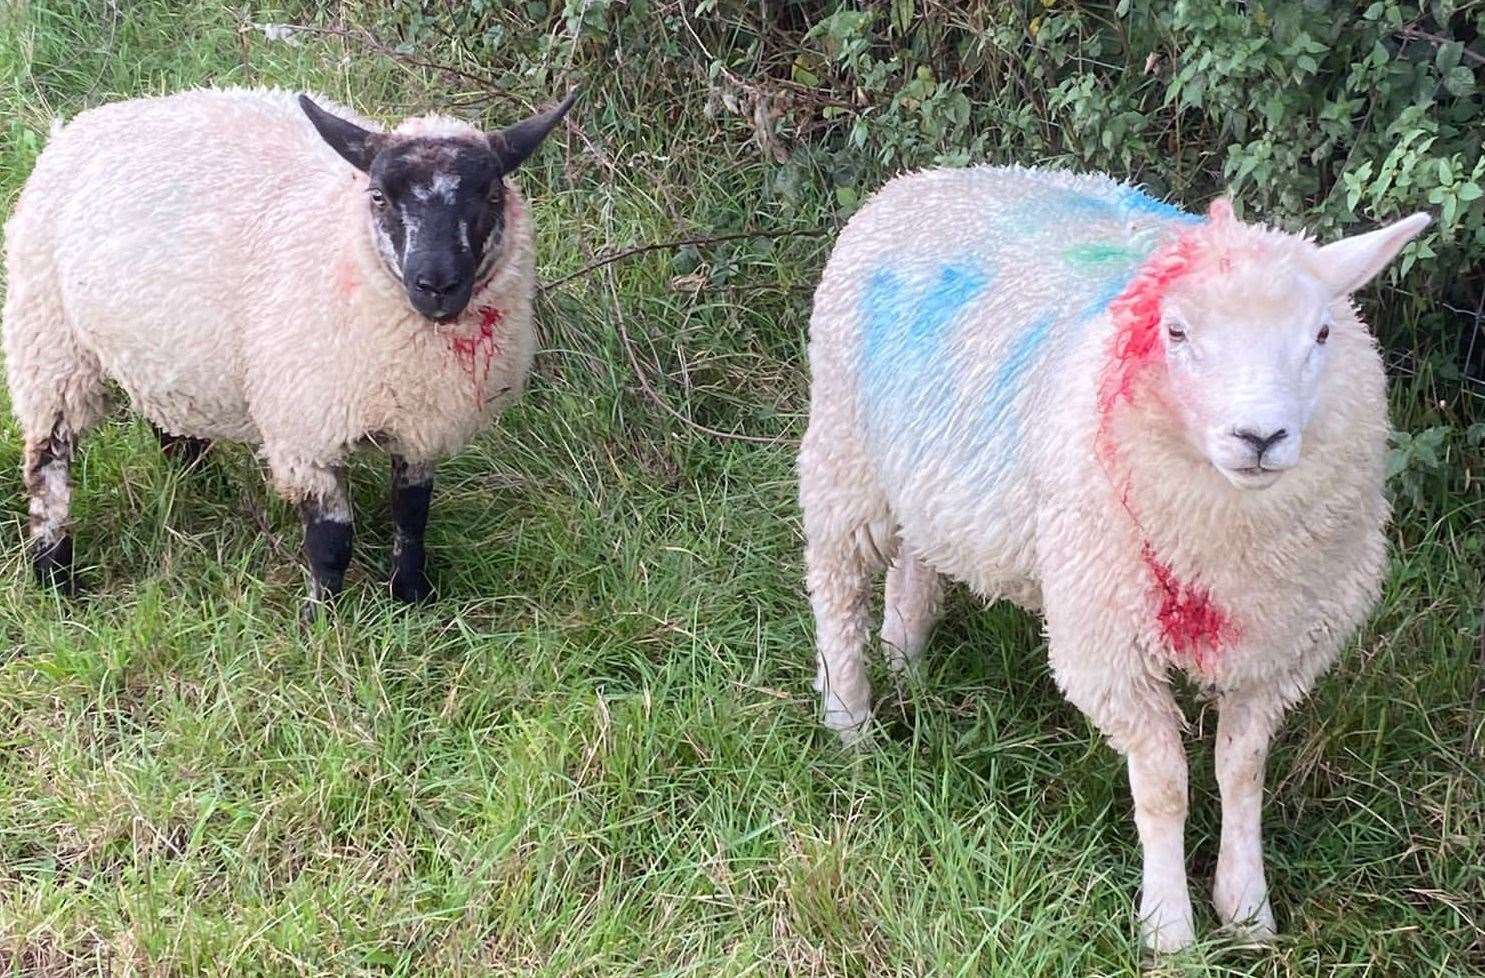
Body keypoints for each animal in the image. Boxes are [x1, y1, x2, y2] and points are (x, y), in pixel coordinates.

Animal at [2, 89, 573, 611]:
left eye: (493, 196)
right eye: (379, 197)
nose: (436, 285)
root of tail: (82, 124)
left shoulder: (420, 424)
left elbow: (412, 516)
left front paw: (412, 597)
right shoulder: (306, 427)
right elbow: (331, 540)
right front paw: (324, 621)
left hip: (160, 346)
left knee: (167, 417)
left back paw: (203, 485)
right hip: (49, 344)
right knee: (47, 465)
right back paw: (55, 577)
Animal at [795, 164, 1431, 949]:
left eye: (1320, 333)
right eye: (1175, 331)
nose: (1259, 437)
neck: (1232, 536)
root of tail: (926, 177)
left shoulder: (1277, 645)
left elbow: (1241, 771)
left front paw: (1246, 911)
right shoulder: (1108, 640)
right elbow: (1162, 786)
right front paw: (1169, 928)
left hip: (928, 473)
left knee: (916, 558)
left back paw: (906, 659)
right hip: (844, 453)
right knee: (835, 586)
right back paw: (849, 720)